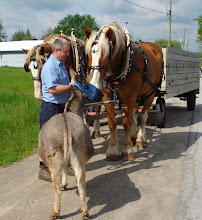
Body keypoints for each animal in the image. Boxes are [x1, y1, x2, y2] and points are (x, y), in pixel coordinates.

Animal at [84, 23, 163, 162]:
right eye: (88, 54)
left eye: (106, 55)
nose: (92, 83)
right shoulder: (107, 97)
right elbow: (113, 123)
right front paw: (113, 150)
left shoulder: (130, 98)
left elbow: (126, 123)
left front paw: (127, 150)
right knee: (135, 113)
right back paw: (133, 134)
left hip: (150, 92)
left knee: (144, 115)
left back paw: (141, 139)